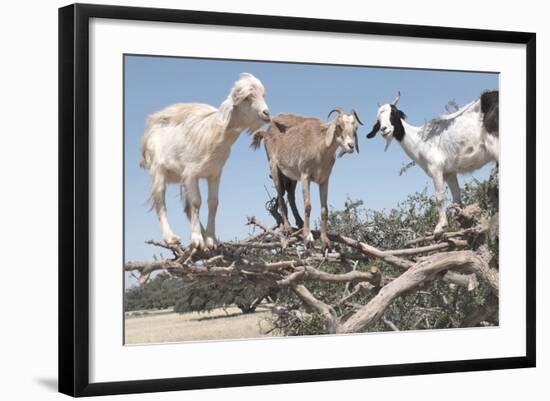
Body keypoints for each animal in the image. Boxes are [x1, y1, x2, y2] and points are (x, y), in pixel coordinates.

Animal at [140, 72, 272, 247]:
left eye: (263, 95)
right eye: (246, 98)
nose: (266, 113)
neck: (215, 135)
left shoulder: (214, 174)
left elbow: (213, 203)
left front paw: (210, 239)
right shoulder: (191, 173)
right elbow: (197, 202)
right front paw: (197, 240)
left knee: (186, 208)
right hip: (158, 170)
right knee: (160, 201)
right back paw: (171, 238)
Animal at [252, 108, 364, 248]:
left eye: (356, 127)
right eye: (339, 125)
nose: (350, 146)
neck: (320, 148)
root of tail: (266, 132)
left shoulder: (324, 180)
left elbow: (324, 209)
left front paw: (325, 240)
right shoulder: (305, 176)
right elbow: (308, 205)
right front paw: (308, 237)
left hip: (292, 176)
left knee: (290, 196)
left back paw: (299, 222)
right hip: (274, 168)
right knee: (281, 197)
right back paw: (287, 228)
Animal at [366, 90, 500, 234]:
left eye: (393, 113)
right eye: (378, 120)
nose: (384, 129)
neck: (419, 140)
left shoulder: (436, 168)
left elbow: (439, 197)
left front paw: (441, 226)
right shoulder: (449, 173)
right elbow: (457, 200)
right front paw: (462, 227)